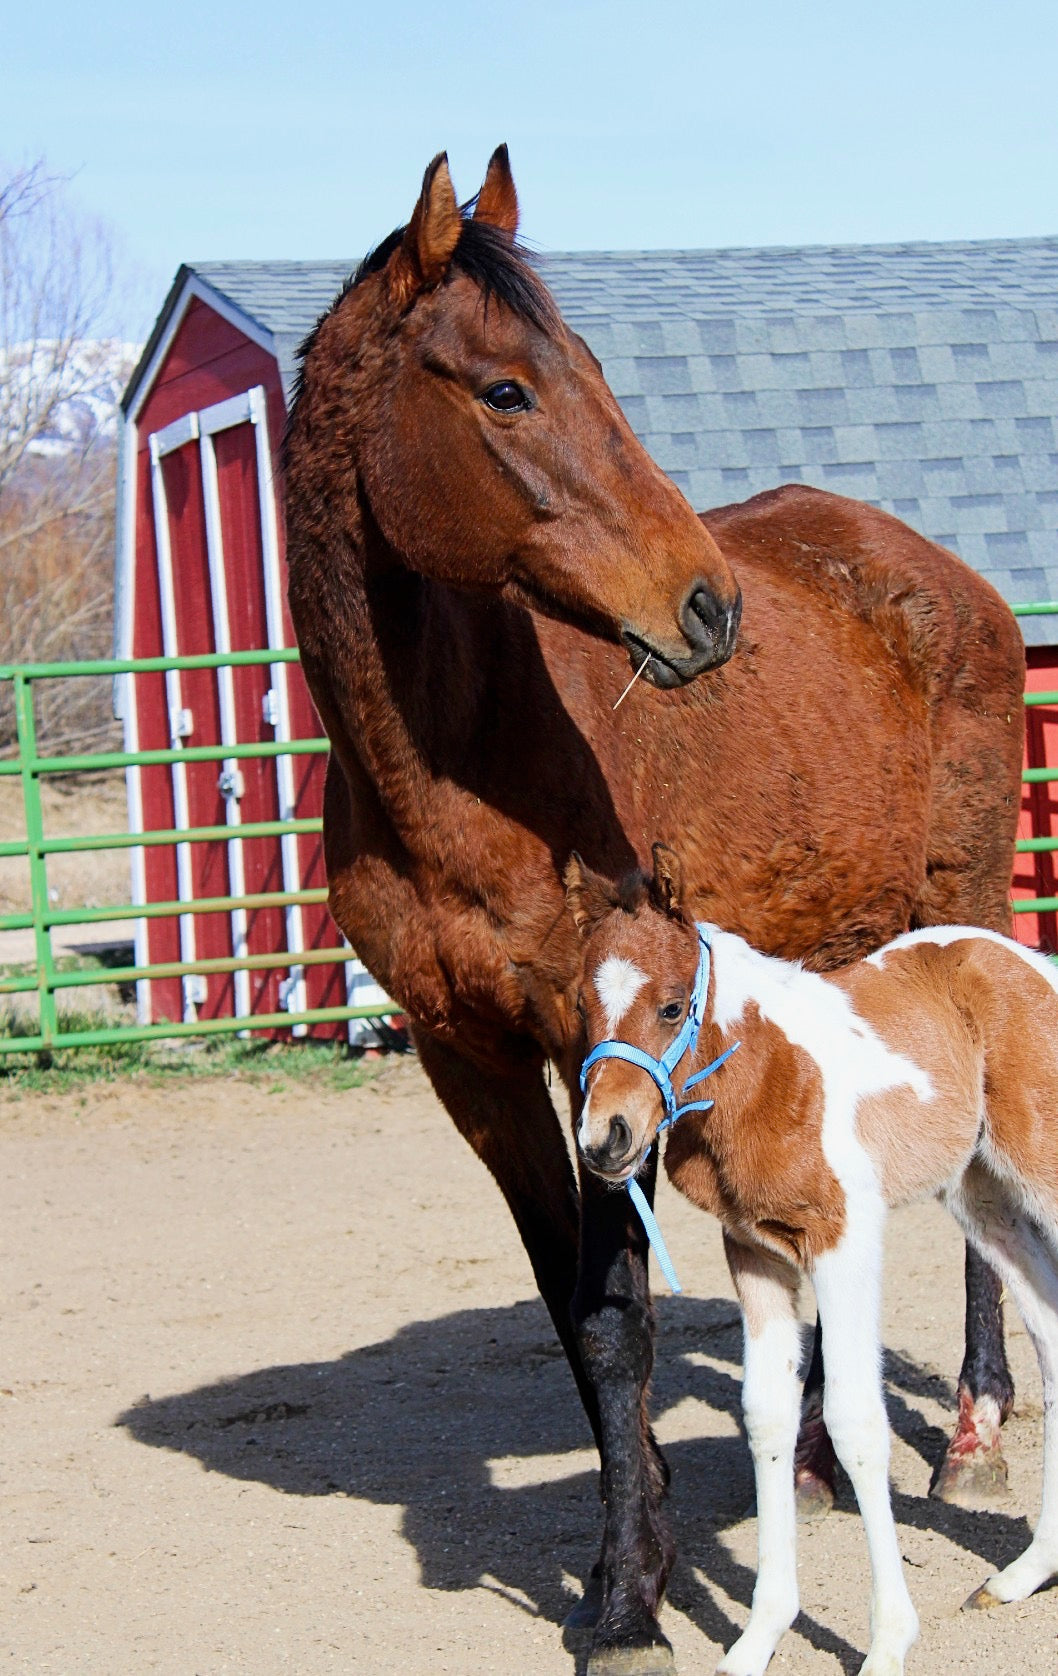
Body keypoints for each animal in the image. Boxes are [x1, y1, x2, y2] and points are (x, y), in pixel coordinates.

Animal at [567, 842, 1058, 1676]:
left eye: (672, 1006)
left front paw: (889, 1641)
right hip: (984, 1196)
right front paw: (760, 1636)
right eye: (578, 1006)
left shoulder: (844, 1239)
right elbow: (766, 1413)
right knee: (1054, 1334)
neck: (767, 1072)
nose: (607, 1138)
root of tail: (1029, 961)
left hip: (1042, 1174)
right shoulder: (754, 1252)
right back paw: (1024, 1573)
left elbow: (857, 1419)